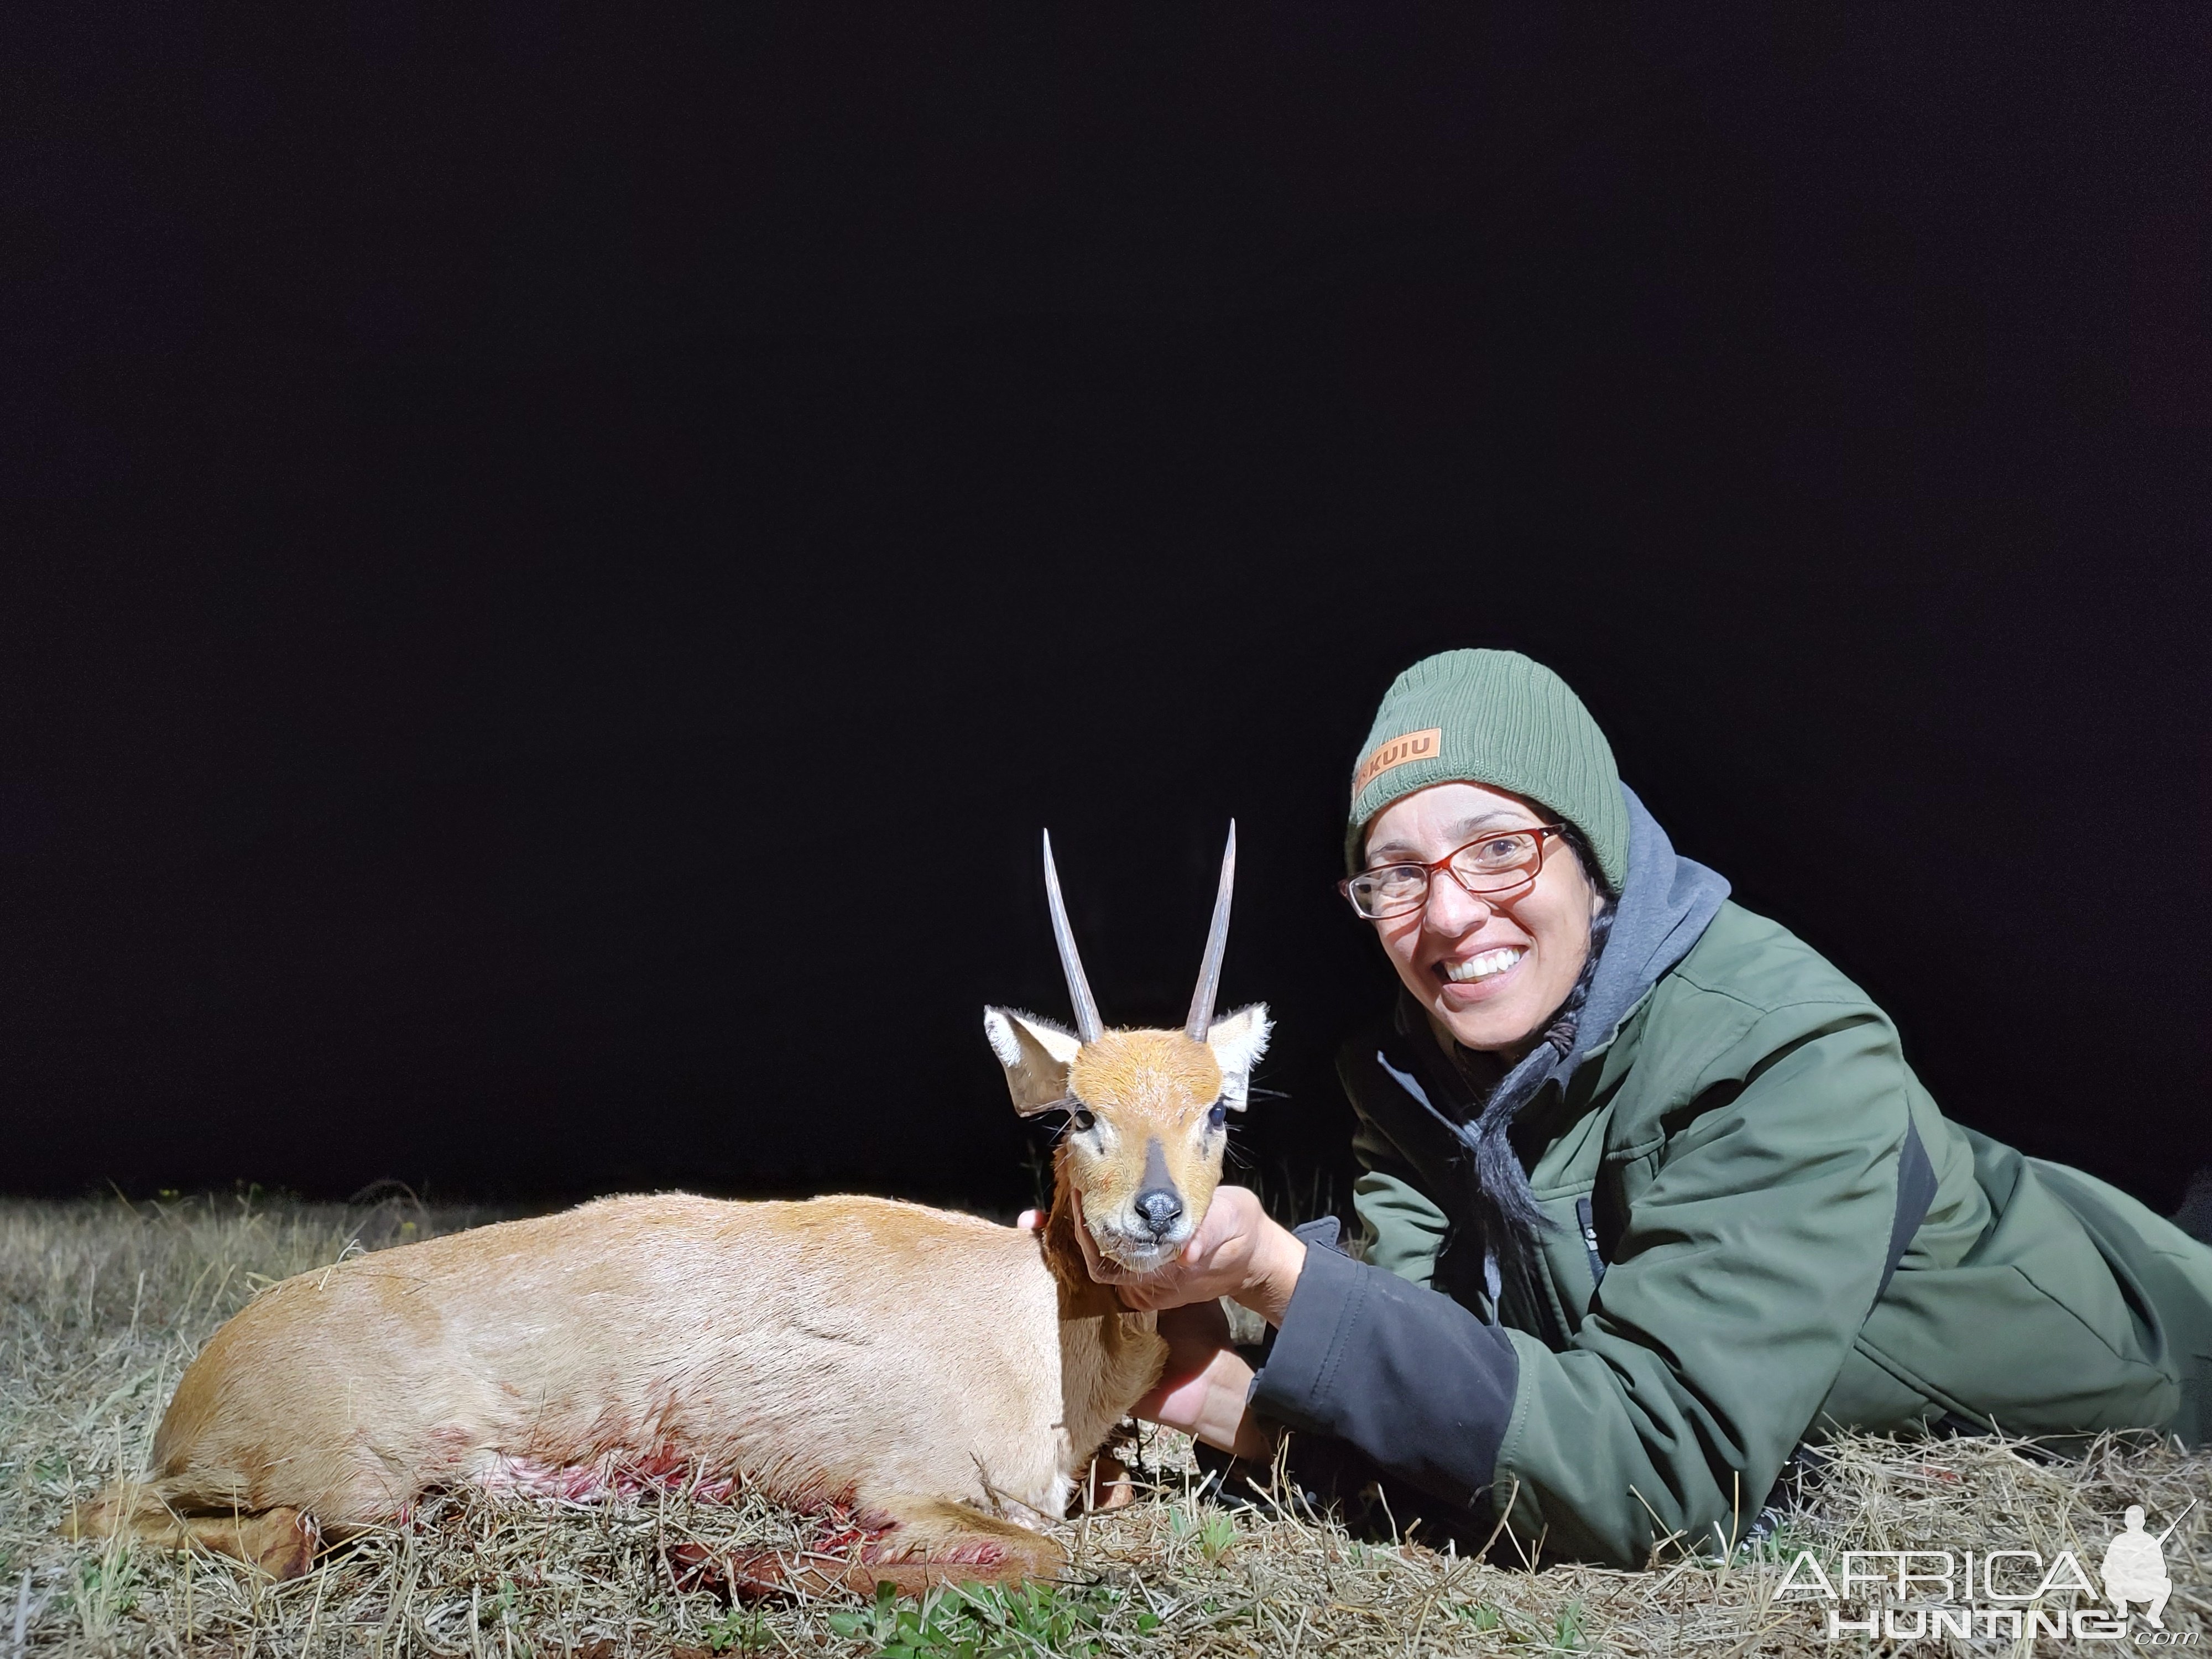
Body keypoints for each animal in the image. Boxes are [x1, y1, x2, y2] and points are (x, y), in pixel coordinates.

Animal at [69, 832, 1274, 1601]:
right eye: (1078, 1111)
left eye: (1217, 1106)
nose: (1157, 1213)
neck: (1036, 1334)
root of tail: (193, 1393)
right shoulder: (918, 1488)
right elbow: (1072, 1550)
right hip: (346, 1489)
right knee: (193, 1523)